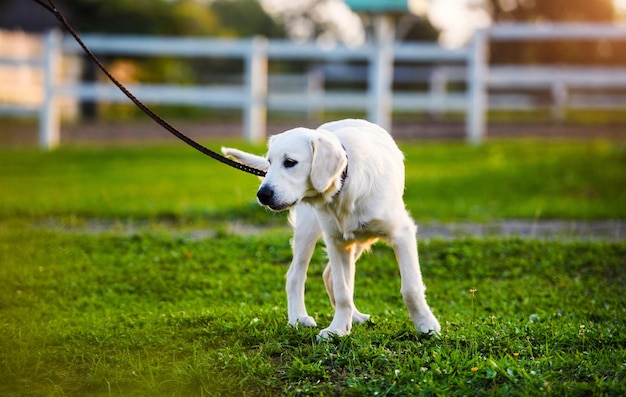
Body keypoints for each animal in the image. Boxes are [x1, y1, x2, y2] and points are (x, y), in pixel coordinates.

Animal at [222, 118, 436, 338]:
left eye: (290, 162)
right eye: (269, 162)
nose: (262, 195)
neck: (345, 182)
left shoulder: (401, 233)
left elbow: (410, 287)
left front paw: (426, 325)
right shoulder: (336, 242)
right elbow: (343, 292)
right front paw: (338, 329)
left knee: (327, 275)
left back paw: (354, 317)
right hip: (309, 228)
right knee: (296, 275)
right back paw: (299, 318)